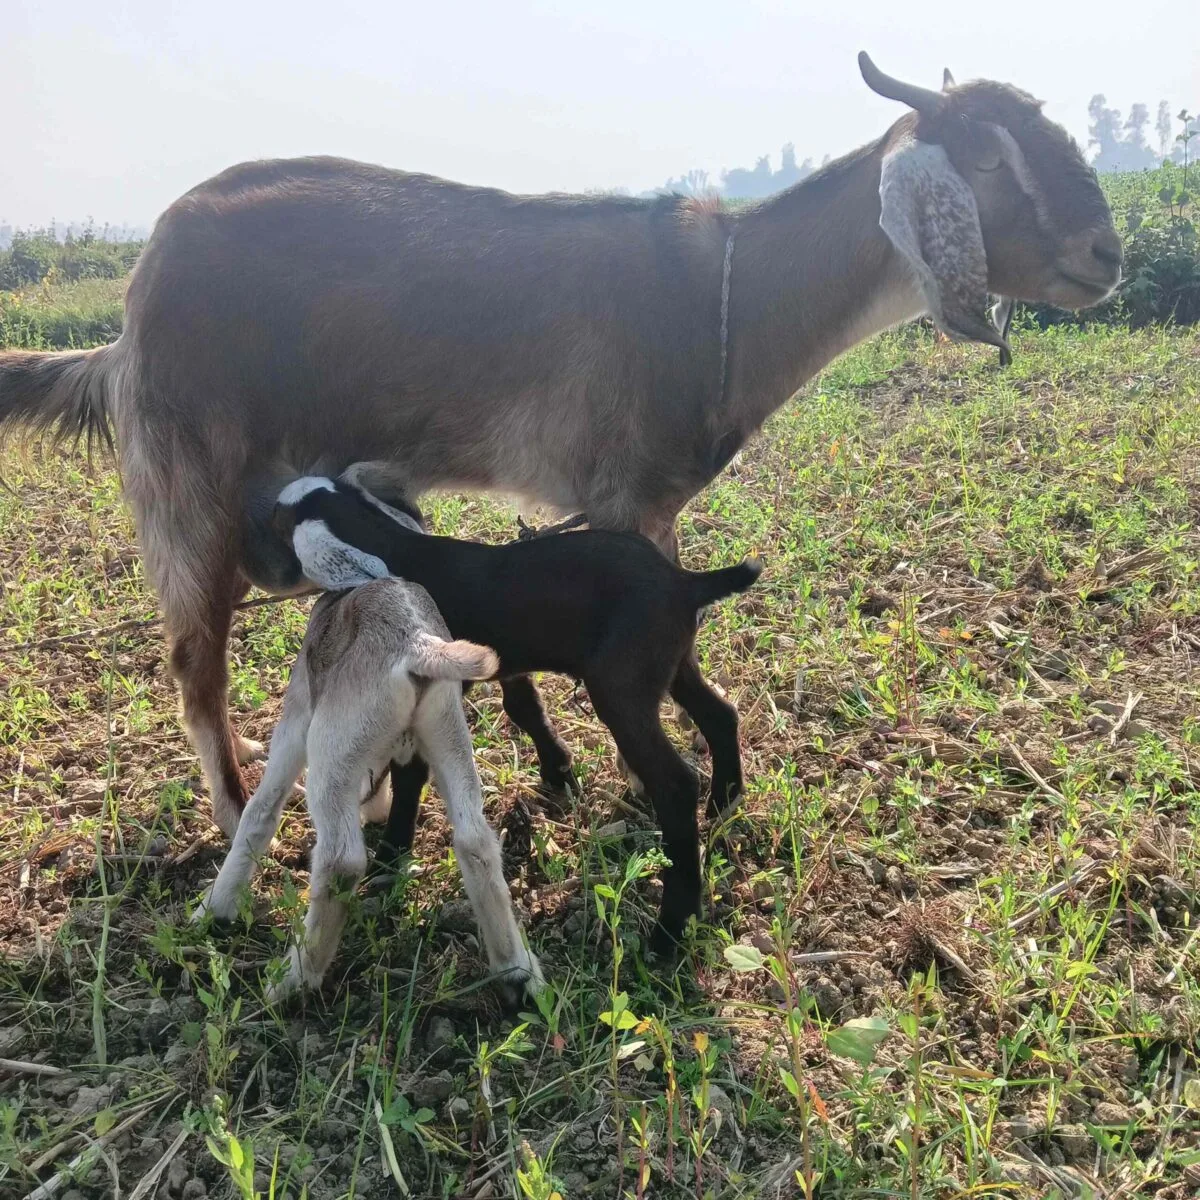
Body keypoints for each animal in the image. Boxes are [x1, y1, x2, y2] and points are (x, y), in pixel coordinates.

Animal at [0, 54, 1122, 836]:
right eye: (987, 156)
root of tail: (132, 308)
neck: (723, 299)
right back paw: (242, 816)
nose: (1106, 255)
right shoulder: (631, 498)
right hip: (188, 492)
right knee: (195, 662)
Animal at [194, 576, 544, 1003]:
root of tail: (417, 645)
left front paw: (215, 907)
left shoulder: (297, 719)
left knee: (341, 861)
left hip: (331, 747)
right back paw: (517, 970)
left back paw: (295, 978)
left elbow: (260, 812)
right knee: (476, 842)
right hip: (448, 733)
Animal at [273, 469, 762, 954]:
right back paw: (724, 802)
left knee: (676, 785)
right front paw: (558, 771)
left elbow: (410, 773)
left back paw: (671, 927)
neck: (397, 548)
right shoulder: (504, 661)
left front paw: (392, 854)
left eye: (281, 517)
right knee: (721, 716)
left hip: (621, 688)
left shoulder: (432, 686)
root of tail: (685, 583)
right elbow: (523, 706)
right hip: (673, 665)